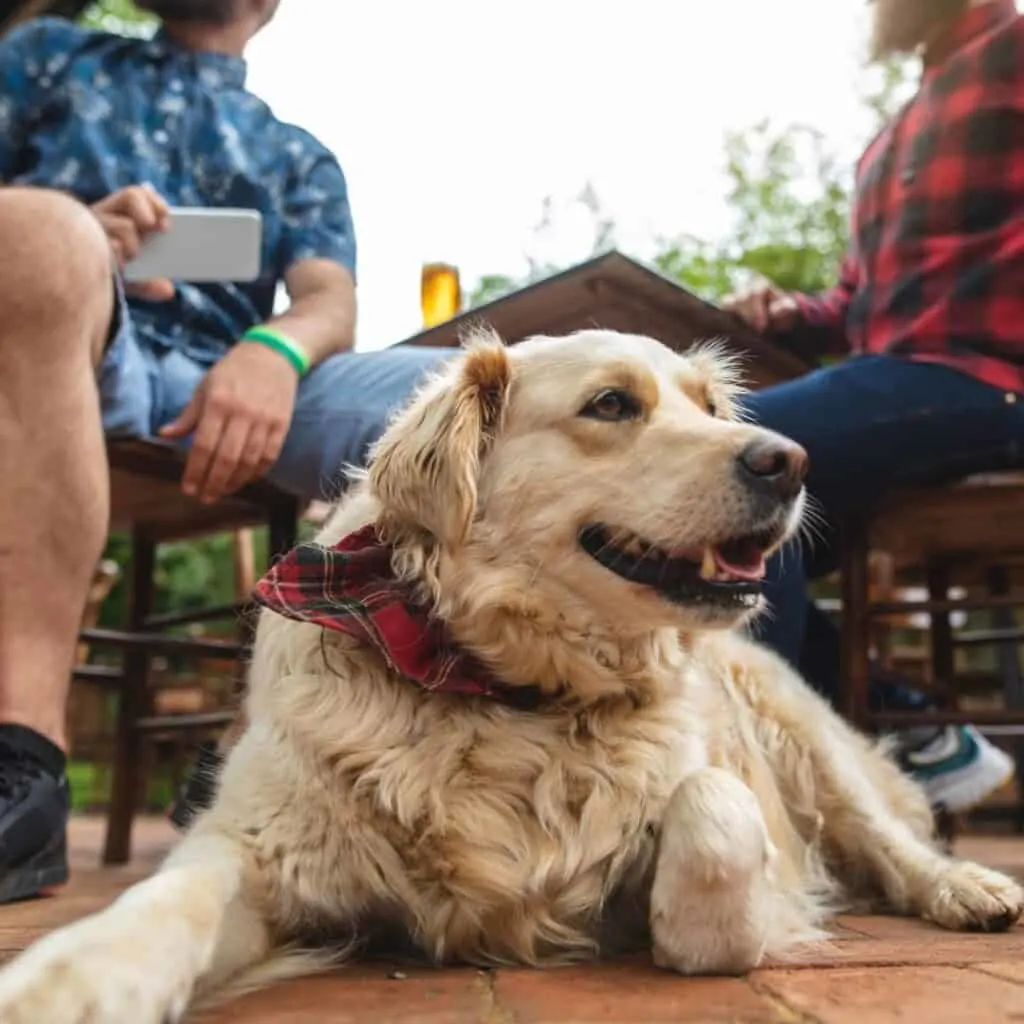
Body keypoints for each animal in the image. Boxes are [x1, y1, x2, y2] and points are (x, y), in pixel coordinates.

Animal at [0, 327, 1019, 1015]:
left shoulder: (725, 805)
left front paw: (690, 923)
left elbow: (714, 813)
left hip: (805, 736)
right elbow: (162, 900)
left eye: (708, 407)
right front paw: (70, 983)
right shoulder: (260, 844)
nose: (791, 461)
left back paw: (968, 888)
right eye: (611, 405)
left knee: (891, 840)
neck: (508, 690)